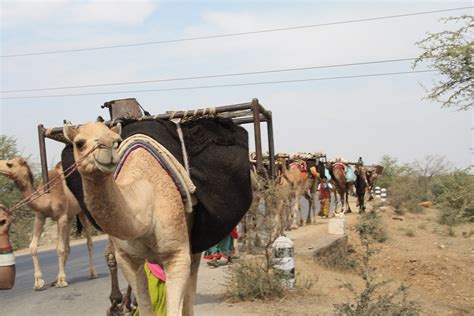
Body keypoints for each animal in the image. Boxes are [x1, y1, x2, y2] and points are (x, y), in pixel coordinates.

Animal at [0, 157, 97, 290]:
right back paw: (55, 280)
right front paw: (38, 282)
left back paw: (92, 274)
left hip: (82, 211)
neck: (47, 198)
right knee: (68, 246)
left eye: (10, 164)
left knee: (89, 242)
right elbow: (33, 247)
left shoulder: (61, 216)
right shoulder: (40, 216)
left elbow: (59, 248)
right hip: (70, 216)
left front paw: (61, 282)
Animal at [62, 121, 198, 316]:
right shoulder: (127, 259)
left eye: (116, 141)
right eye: (79, 143)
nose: (107, 146)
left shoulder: (176, 252)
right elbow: (145, 306)